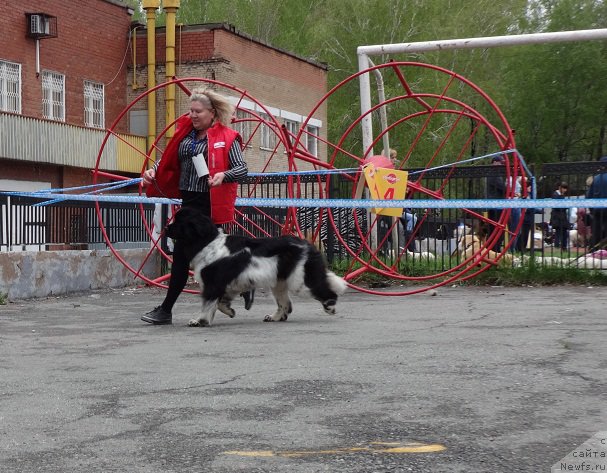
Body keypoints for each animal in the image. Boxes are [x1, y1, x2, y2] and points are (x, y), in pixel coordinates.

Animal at [165, 208, 346, 326]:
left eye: (179, 222)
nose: (166, 227)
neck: (207, 241)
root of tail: (309, 245)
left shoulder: (213, 283)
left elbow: (208, 303)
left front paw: (199, 321)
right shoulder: (227, 284)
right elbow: (220, 302)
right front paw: (230, 311)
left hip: (299, 281)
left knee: (323, 290)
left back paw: (330, 307)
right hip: (279, 281)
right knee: (286, 304)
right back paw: (274, 317)